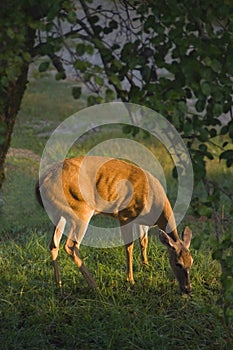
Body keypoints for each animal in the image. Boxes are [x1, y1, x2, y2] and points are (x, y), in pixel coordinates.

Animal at [36, 156, 193, 296]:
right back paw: (94, 286)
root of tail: (41, 183)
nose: (187, 289)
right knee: (70, 246)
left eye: (191, 261)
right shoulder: (125, 215)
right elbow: (129, 246)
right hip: (81, 210)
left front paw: (146, 265)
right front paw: (131, 280)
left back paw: (59, 283)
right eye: (178, 263)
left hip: (59, 214)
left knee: (54, 243)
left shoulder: (140, 221)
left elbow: (144, 241)